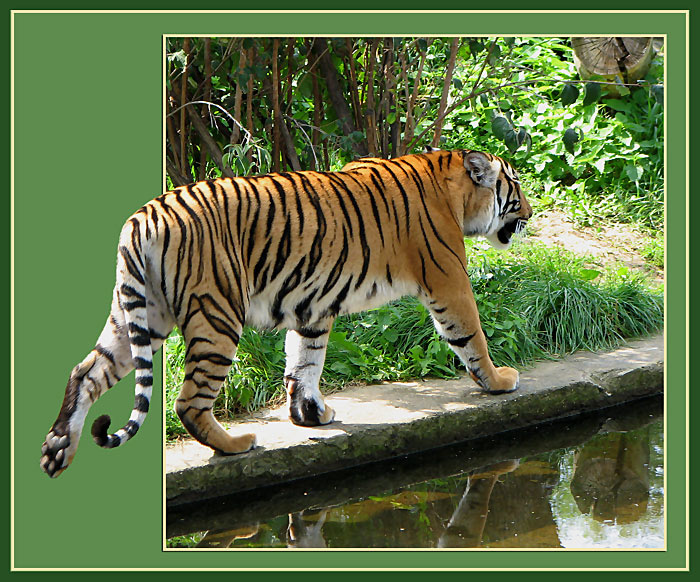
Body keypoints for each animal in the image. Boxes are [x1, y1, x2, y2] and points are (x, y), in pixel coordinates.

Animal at [40, 148, 532, 478]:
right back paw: (235, 444)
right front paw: (498, 381)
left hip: (140, 315)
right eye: (516, 188)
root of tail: (143, 215)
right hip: (217, 314)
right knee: (189, 400)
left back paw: (57, 450)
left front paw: (309, 415)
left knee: (86, 372)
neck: (454, 189)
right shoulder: (449, 280)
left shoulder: (312, 300)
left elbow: (305, 360)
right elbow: (471, 334)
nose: (530, 212)